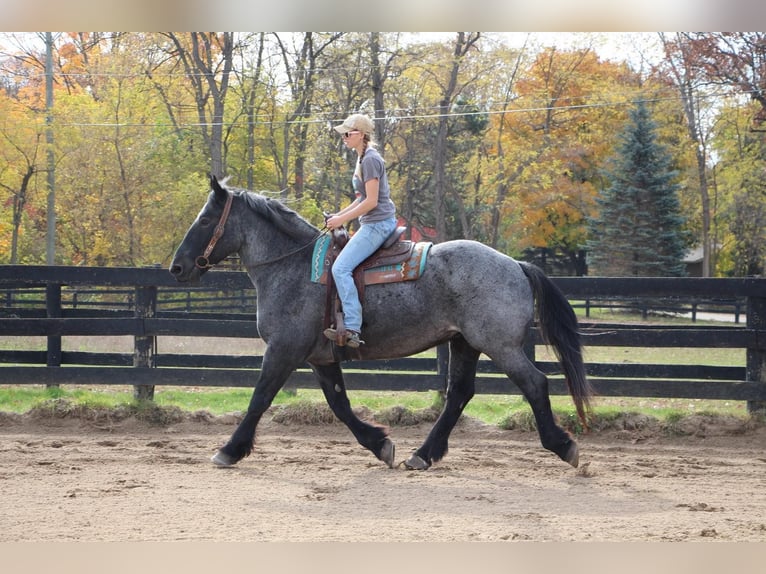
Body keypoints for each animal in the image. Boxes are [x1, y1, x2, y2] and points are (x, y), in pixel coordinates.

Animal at [171, 176, 596, 472]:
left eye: (206, 219)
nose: (177, 268)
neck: (294, 266)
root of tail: (516, 265)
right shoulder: (320, 356)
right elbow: (339, 404)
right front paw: (379, 443)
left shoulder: (283, 350)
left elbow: (260, 397)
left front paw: (229, 450)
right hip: (464, 343)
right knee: (459, 394)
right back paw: (422, 455)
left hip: (499, 346)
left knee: (534, 384)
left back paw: (563, 446)